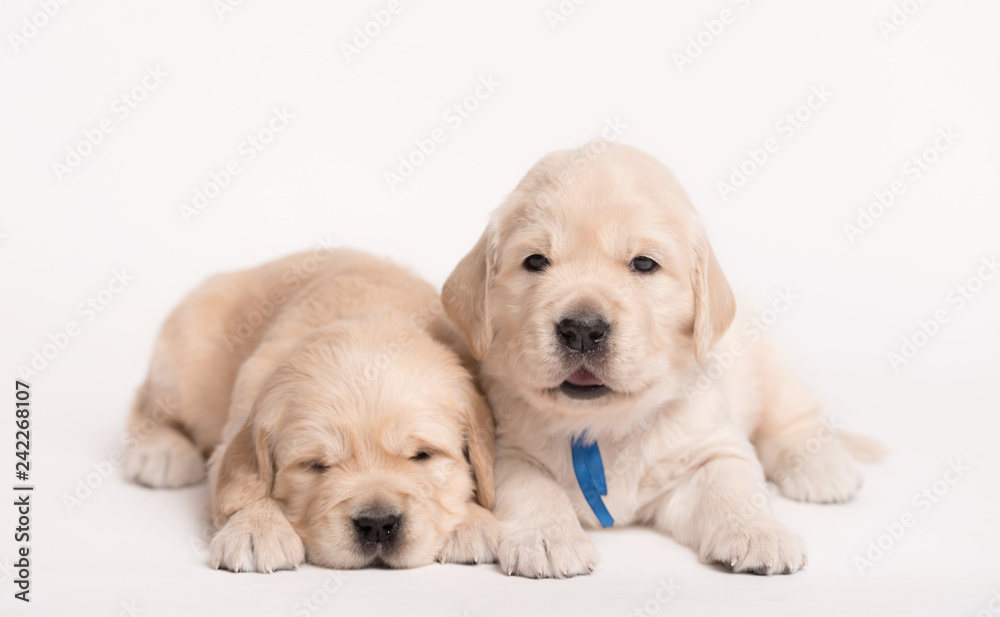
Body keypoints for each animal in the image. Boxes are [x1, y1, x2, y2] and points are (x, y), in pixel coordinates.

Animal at [126, 247, 500, 572]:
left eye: (423, 455)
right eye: (316, 466)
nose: (378, 524)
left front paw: (473, 520)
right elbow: (241, 483)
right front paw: (257, 528)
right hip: (182, 369)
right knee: (146, 405)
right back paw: (163, 454)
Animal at [442, 142, 880, 576]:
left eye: (643, 263)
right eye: (535, 261)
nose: (582, 329)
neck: (602, 426)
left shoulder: (710, 446)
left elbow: (733, 484)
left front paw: (758, 533)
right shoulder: (504, 451)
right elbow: (530, 485)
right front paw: (548, 538)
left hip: (772, 368)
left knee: (795, 420)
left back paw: (824, 468)